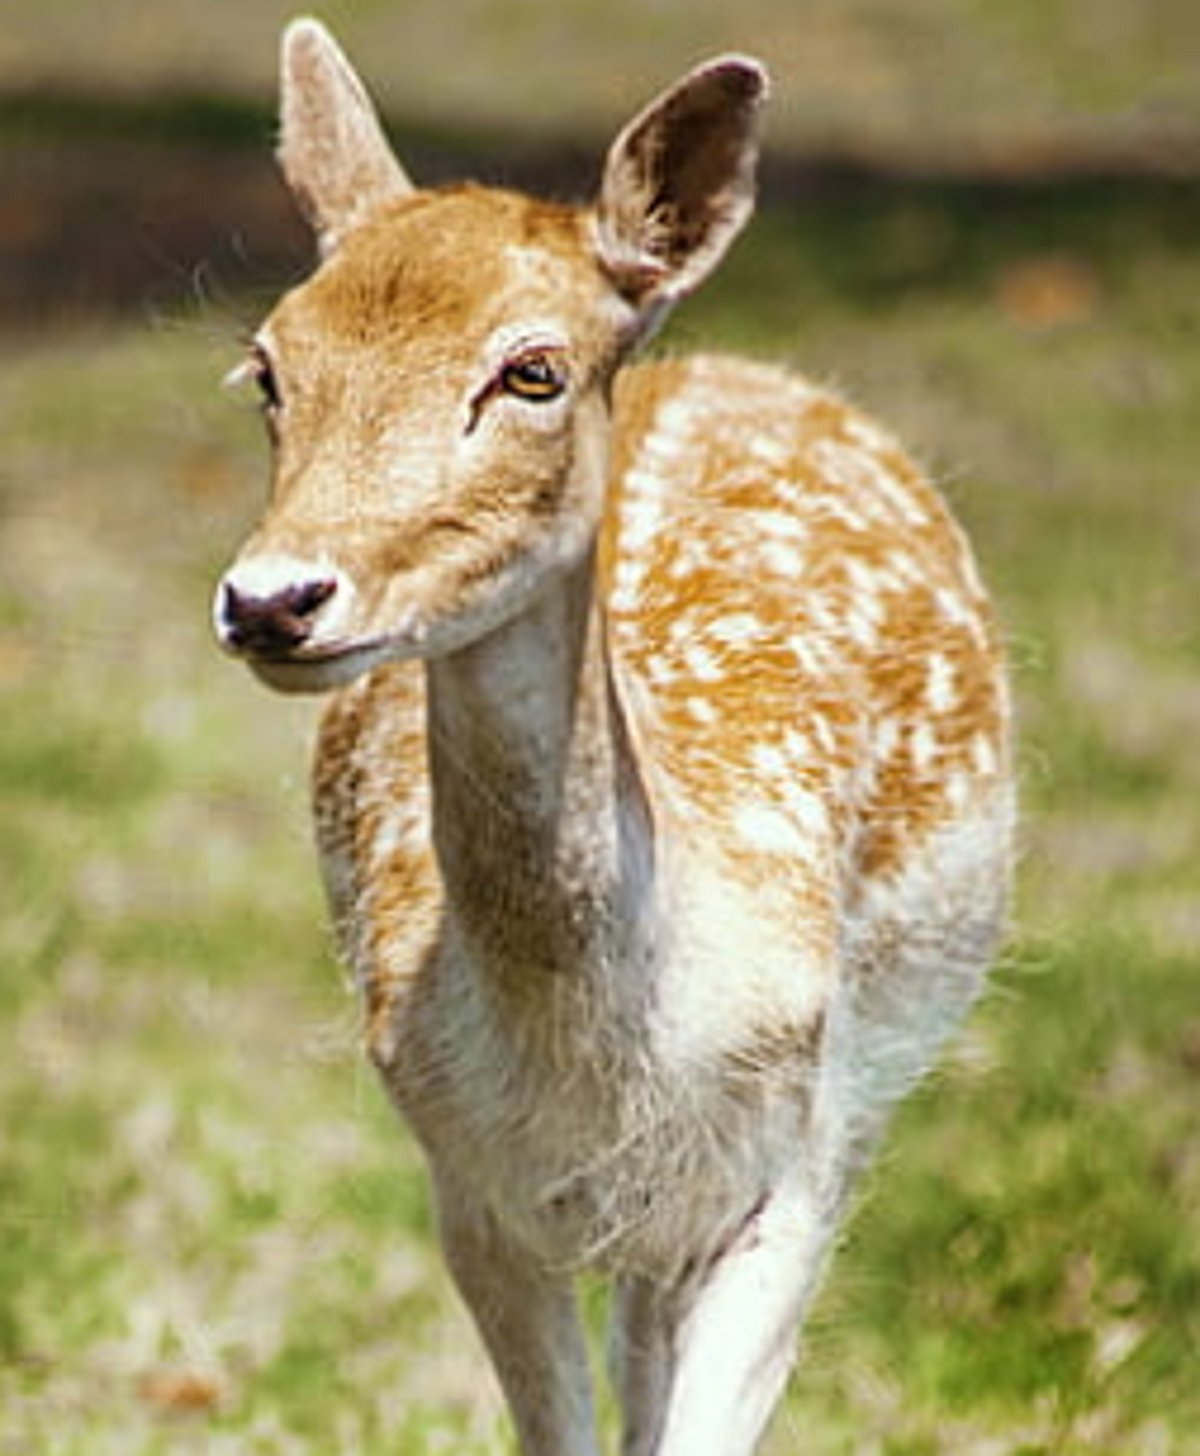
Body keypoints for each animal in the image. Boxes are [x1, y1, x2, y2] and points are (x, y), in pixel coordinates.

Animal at [212, 18, 1014, 1456]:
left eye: (531, 370)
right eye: (269, 367)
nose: (273, 599)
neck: (603, 1057)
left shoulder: (790, 1168)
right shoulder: (469, 1184)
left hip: (870, 1086)